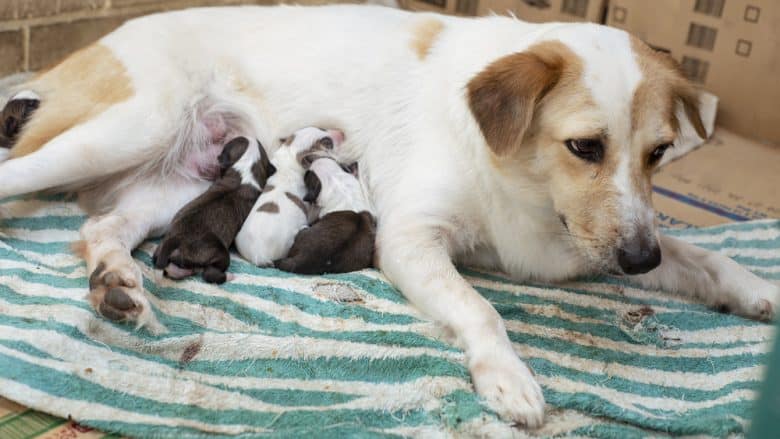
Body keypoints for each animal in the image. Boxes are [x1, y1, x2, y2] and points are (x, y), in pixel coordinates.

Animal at [152, 136, 274, 284]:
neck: (244, 172)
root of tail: (175, 239)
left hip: (163, 248)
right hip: (219, 252)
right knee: (210, 274)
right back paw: (229, 276)